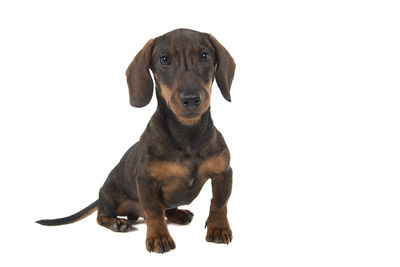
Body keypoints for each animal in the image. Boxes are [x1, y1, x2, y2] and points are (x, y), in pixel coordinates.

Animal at [36, 28, 236, 254]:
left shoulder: (223, 173)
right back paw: (117, 222)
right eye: (164, 60)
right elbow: (154, 212)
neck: (188, 137)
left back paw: (178, 214)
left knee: (166, 210)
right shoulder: (147, 182)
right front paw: (159, 237)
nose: (191, 99)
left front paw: (218, 228)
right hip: (111, 197)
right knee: (102, 215)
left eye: (204, 56)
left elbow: (219, 204)